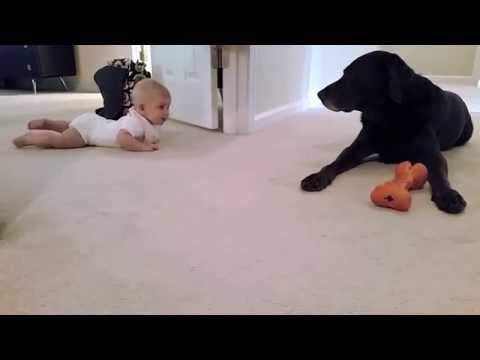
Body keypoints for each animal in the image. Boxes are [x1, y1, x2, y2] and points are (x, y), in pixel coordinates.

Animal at [302, 50, 474, 214]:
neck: (389, 114)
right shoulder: (357, 148)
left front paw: (448, 195)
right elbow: (335, 162)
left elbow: (438, 174)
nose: (319, 94)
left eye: (352, 73)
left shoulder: (432, 155)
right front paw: (317, 177)